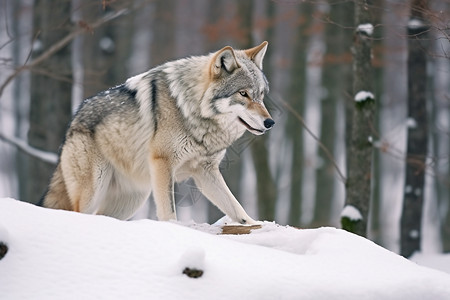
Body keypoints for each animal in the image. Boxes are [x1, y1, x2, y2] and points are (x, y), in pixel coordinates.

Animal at [43, 41, 274, 225]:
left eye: (261, 95)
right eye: (243, 94)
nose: (270, 122)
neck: (191, 109)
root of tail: (73, 120)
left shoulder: (206, 172)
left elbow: (237, 208)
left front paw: (254, 225)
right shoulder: (163, 162)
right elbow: (168, 211)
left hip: (133, 199)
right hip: (94, 191)